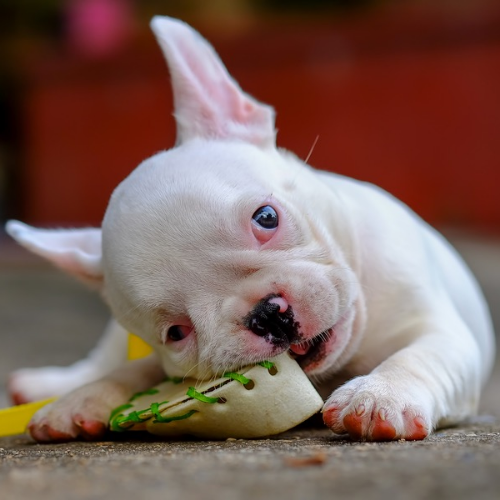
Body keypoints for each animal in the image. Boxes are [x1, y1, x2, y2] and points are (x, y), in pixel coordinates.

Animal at [5, 15, 494, 442]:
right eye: (176, 333)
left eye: (266, 218)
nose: (267, 314)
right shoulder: (160, 358)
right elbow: (134, 369)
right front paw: (84, 398)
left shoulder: (439, 330)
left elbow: (419, 356)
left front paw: (379, 394)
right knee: (103, 357)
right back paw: (54, 385)